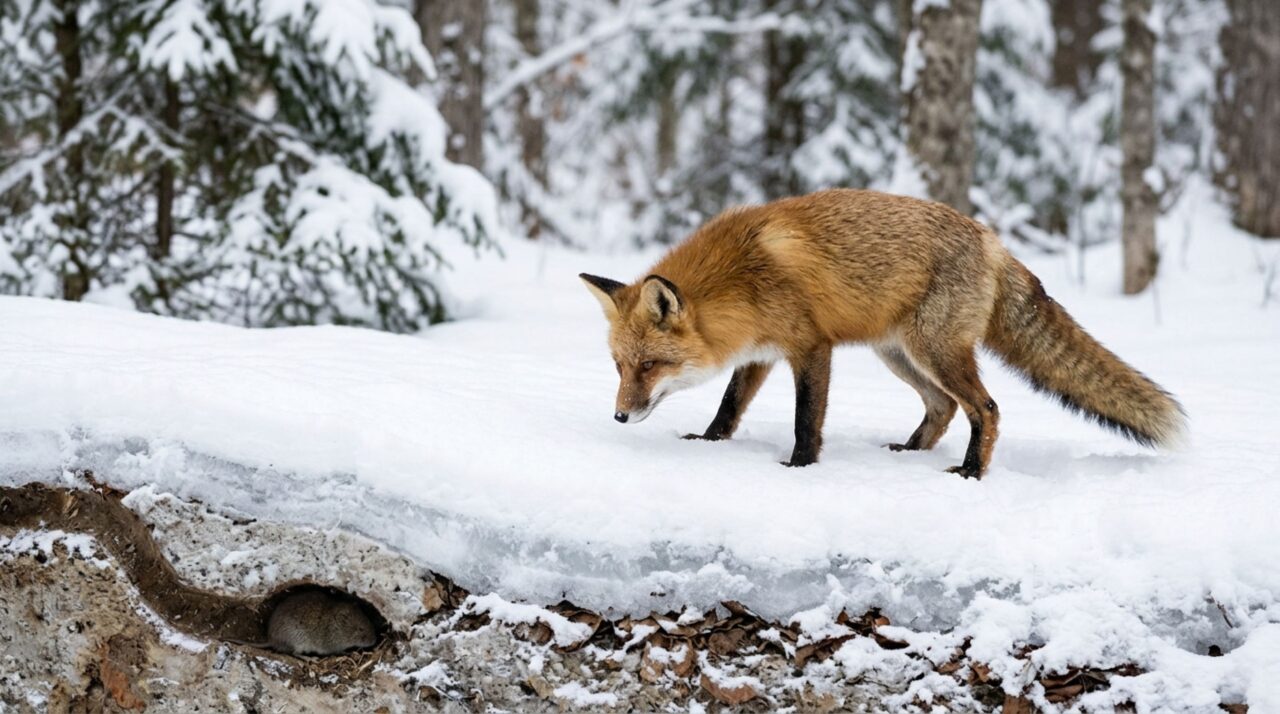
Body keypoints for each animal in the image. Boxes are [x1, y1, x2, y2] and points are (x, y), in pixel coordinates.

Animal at [579, 188, 1186, 478]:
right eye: (619, 366)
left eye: (650, 365)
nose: (619, 416)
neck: (743, 274)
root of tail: (992, 240)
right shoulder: (761, 352)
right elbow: (729, 406)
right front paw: (708, 443)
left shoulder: (810, 347)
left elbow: (806, 419)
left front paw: (800, 467)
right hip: (899, 354)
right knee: (943, 407)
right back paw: (908, 453)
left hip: (932, 350)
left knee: (984, 408)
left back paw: (970, 472)